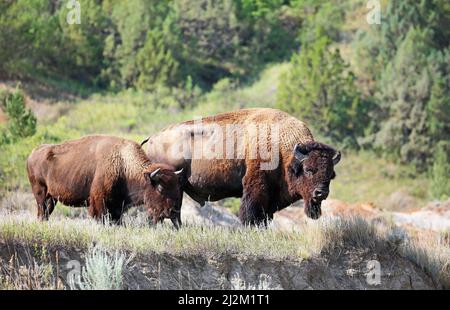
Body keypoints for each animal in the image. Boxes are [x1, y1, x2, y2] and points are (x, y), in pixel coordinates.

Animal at [26, 134, 184, 226]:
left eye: (177, 188)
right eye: (160, 188)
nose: (173, 211)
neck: (123, 163)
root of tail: (32, 153)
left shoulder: (118, 205)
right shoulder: (99, 200)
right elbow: (100, 217)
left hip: (52, 198)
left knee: (46, 213)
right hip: (41, 193)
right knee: (42, 211)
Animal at [144, 108, 342, 225]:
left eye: (331, 174)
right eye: (308, 169)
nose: (321, 193)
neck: (282, 146)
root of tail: (153, 138)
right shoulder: (256, 187)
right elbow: (250, 213)